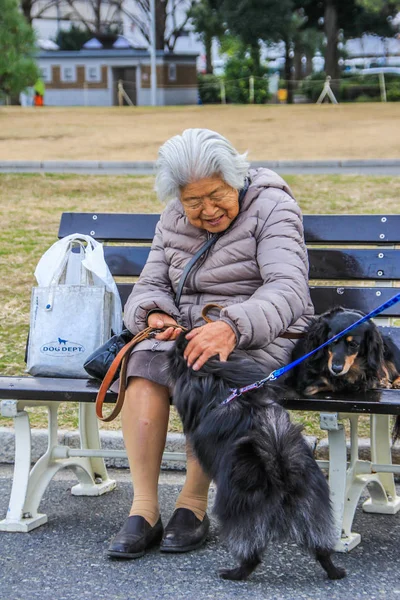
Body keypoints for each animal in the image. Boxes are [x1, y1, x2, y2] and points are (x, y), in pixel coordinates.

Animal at [167, 332, 346, 580]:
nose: (180, 336)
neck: (222, 383)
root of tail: (280, 469)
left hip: (242, 513)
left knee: (251, 555)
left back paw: (234, 573)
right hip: (312, 511)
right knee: (321, 550)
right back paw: (334, 571)